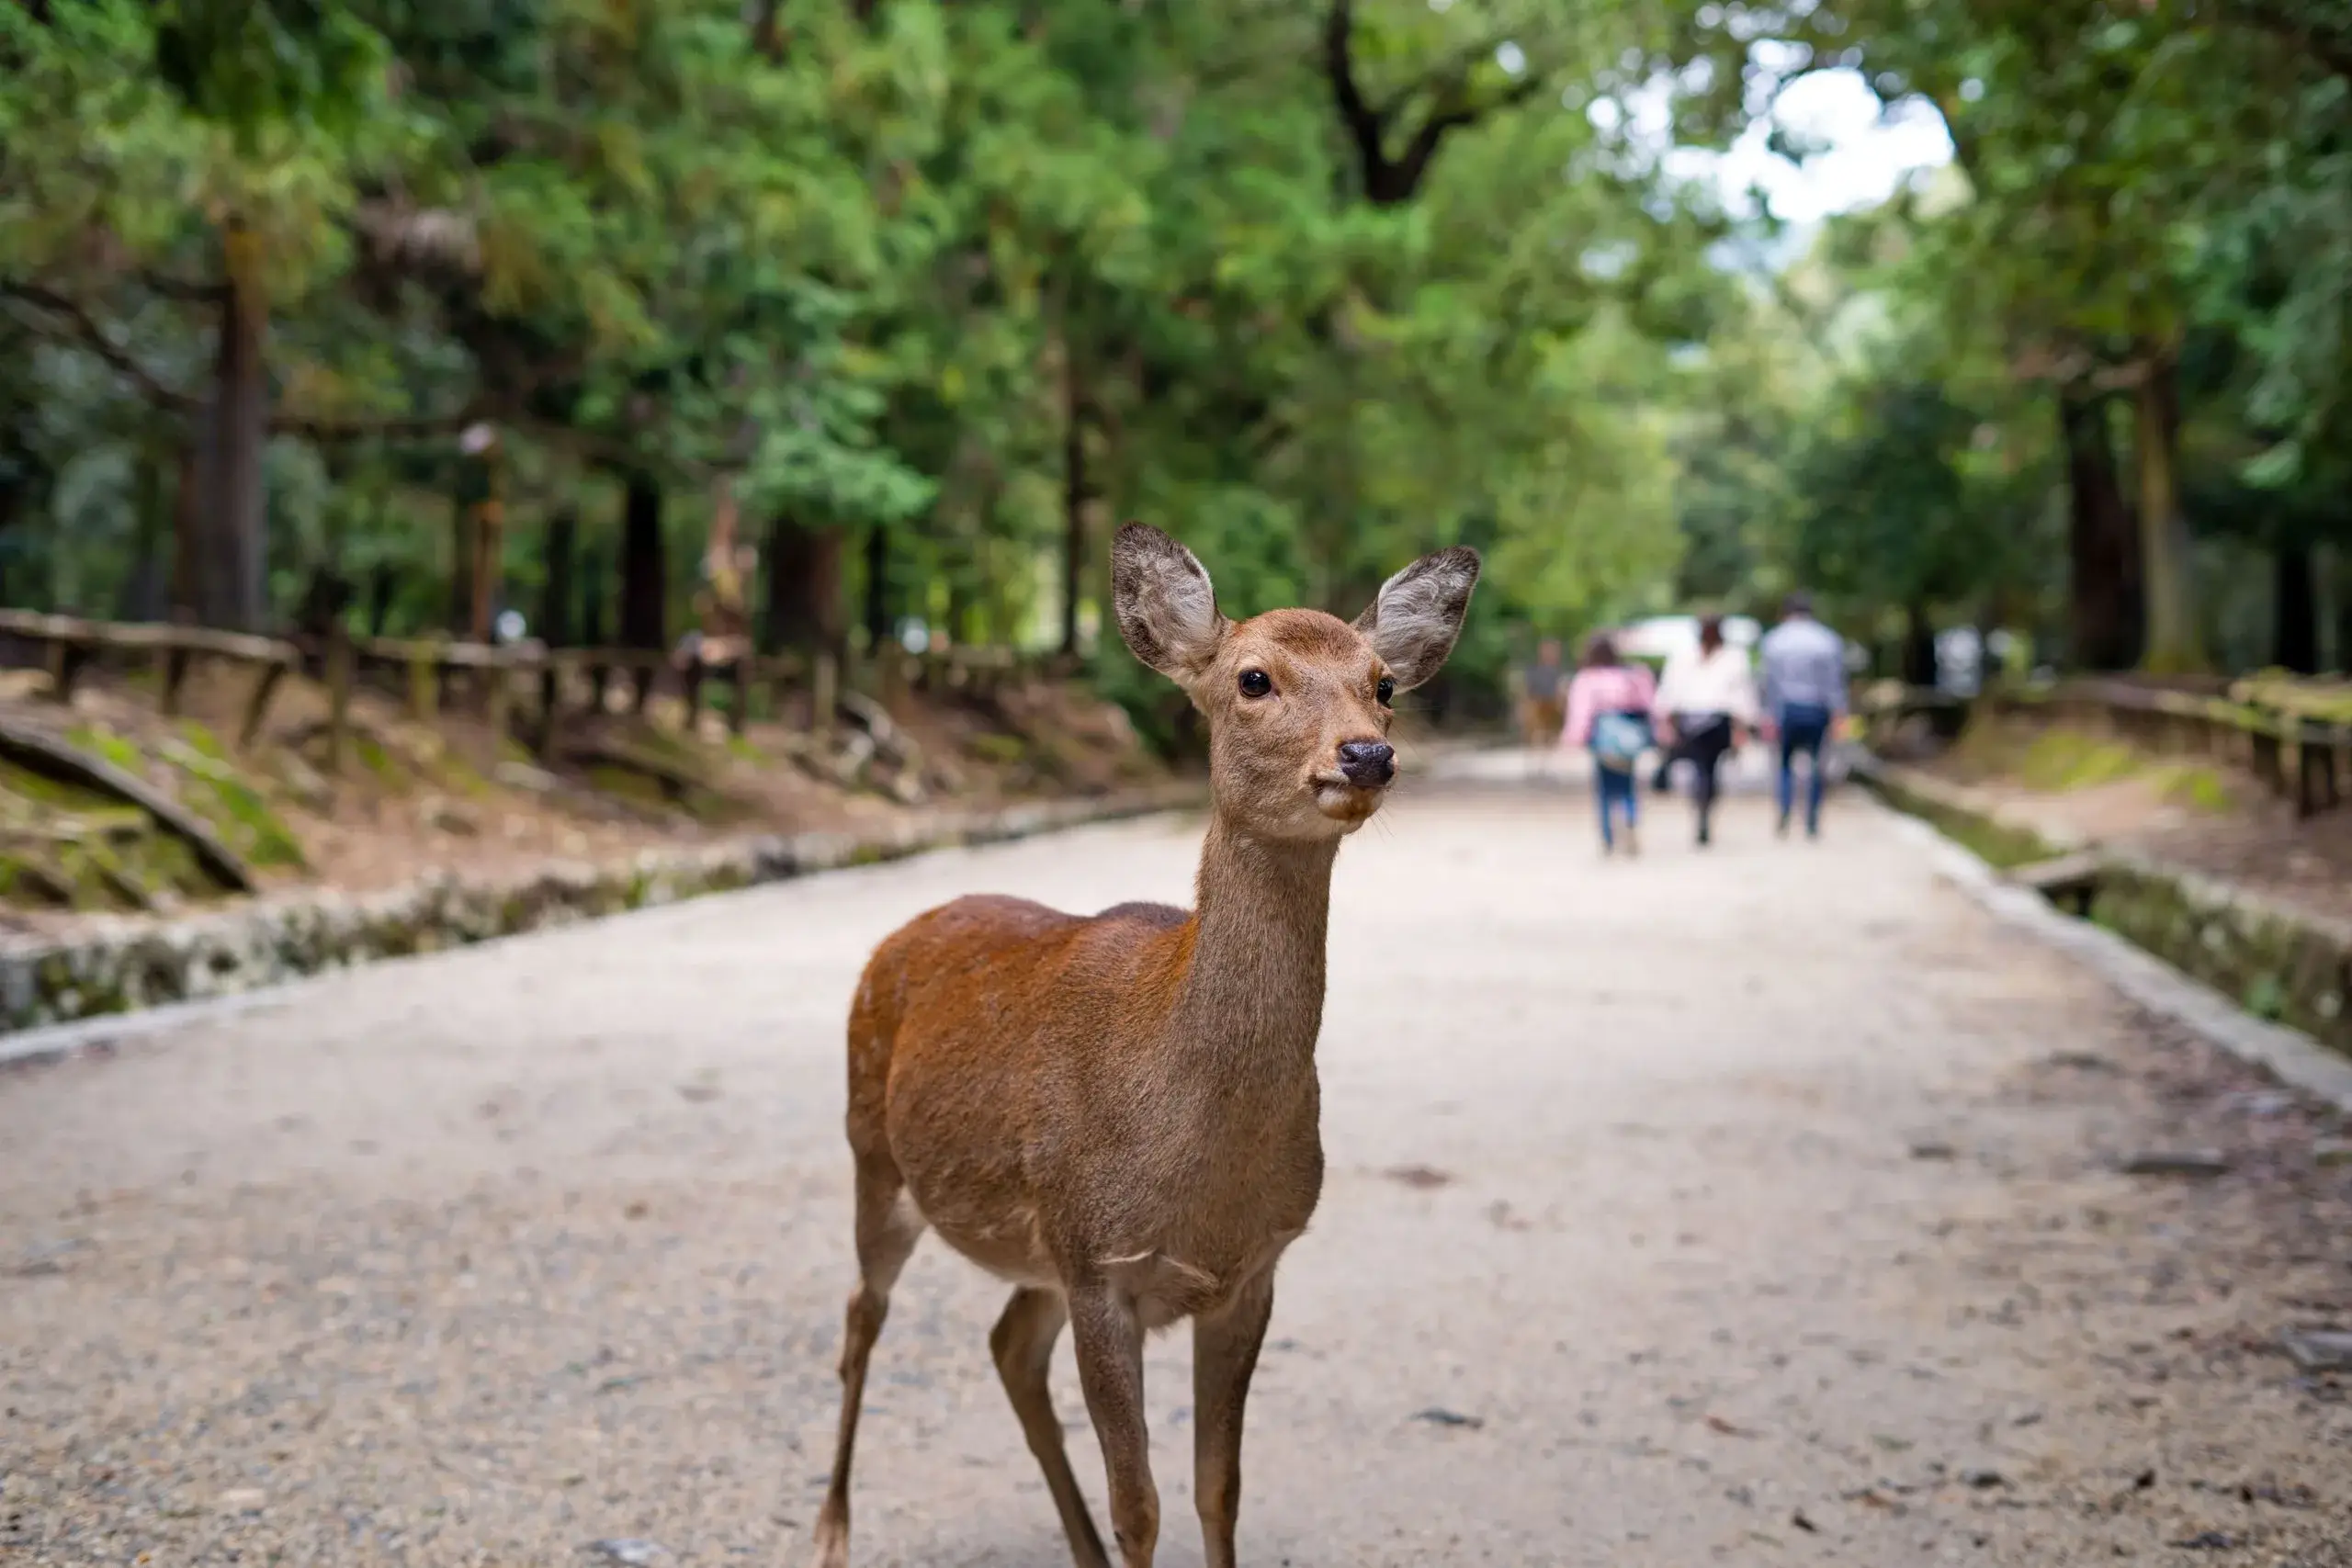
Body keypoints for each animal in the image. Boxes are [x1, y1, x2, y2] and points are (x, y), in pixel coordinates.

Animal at [808, 521, 1481, 1568]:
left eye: (1383, 683)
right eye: (1254, 679)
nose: (1368, 754)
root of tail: (904, 928)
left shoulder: (1252, 1269)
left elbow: (1218, 1488)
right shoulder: (1100, 1263)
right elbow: (1143, 1505)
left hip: (1033, 1240)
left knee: (1007, 1344)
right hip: (873, 1154)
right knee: (859, 1316)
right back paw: (832, 1528)